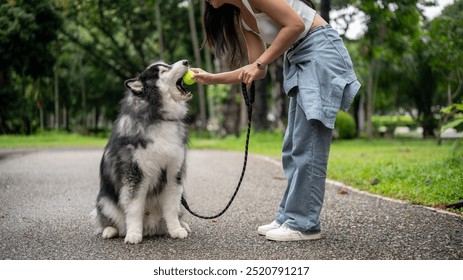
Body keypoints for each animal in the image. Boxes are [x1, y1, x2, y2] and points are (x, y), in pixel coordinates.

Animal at [93, 60, 193, 244]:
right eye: (163, 71)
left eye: (167, 64)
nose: (186, 62)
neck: (159, 118)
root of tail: (149, 228)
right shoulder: (135, 175)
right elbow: (134, 208)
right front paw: (133, 234)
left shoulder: (173, 173)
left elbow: (171, 208)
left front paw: (176, 229)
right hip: (104, 200)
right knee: (109, 220)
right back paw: (110, 230)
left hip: (183, 199)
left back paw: (181, 225)